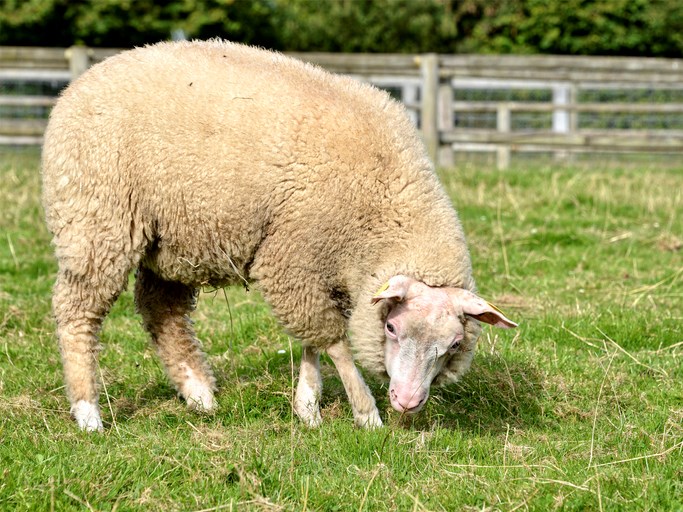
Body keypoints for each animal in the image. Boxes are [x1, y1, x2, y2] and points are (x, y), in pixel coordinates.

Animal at [41, 41, 520, 432]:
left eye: (454, 344)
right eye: (391, 327)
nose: (407, 401)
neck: (384, 204)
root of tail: (81, 83)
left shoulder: (317, 267)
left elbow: (313, 342)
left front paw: (307, 405)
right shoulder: (290, 259)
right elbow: (333, 341)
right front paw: (365, 413)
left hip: (171, 238)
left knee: (162, 311)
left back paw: (199, 394)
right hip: (96, 219)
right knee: (78, 312)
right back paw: (88, 412)